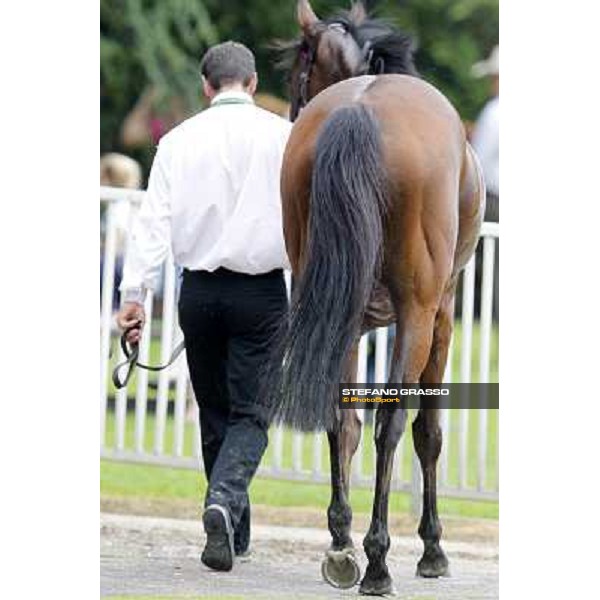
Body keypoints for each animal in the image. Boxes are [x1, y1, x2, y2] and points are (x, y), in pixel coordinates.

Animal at [270, 0, 486, 596]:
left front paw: (340, 539)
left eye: (300, 74)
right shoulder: (442, 316)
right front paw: (432, 548)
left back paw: (346, 550)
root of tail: (360, 109)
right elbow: (425, 432)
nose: (293, 110)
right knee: (393, 426)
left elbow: (345, 423)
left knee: (340, 418)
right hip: (417, 315)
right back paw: (377, 561)